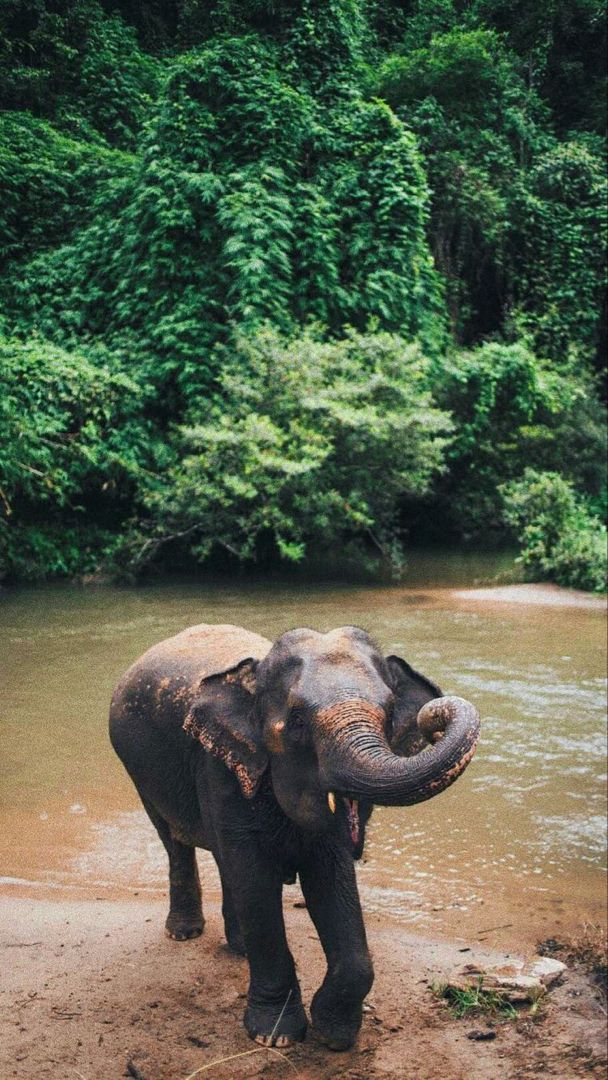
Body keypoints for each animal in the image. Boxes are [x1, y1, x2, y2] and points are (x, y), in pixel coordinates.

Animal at [109, 622, 481, 1049]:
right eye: (298, 720)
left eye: (388, 714)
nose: (433, 716)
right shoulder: (220, 765)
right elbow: (256, 882)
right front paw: (274, 1036)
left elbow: (329, 880)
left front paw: (335, 1034)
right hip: (138, 770)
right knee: (176, 842)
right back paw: (185, 934)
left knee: (222, 858)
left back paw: (239, 948)